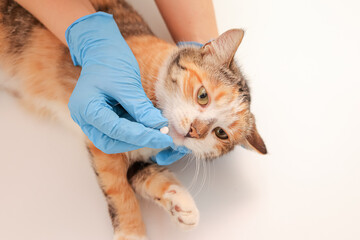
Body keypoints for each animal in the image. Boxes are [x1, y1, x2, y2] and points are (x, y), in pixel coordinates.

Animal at [0, 0, 264, 240]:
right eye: (203, 96)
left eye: (221, 133)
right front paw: (132, 231)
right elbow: (119, 190)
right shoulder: (103, 133)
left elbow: (145, 173)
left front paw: (180, 202)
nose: (194, 131)